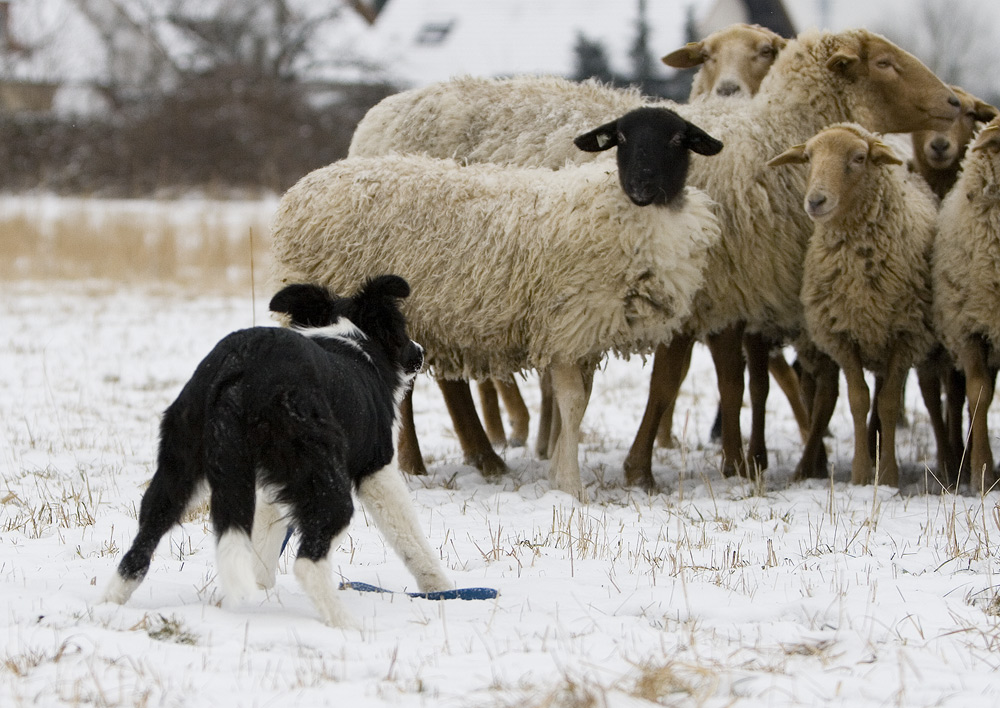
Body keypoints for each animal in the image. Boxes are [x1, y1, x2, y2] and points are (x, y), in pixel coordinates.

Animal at [272, 108, 728, 500]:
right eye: (621, 138)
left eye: (677, 139)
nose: (640, 187)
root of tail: (304, 188)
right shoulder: (566, 325)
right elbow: (572, 403)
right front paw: (571, 486)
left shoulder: (583, 336)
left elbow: (578, 404)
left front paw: (557, 470)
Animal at [764, 123, 936, 486]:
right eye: (808, 157)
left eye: (858, 158)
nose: (816, 201)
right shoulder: (842, 336)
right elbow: (858, 400)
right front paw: (860, 473)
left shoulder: (905, 335)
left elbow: (887, 403)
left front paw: (888, 475)